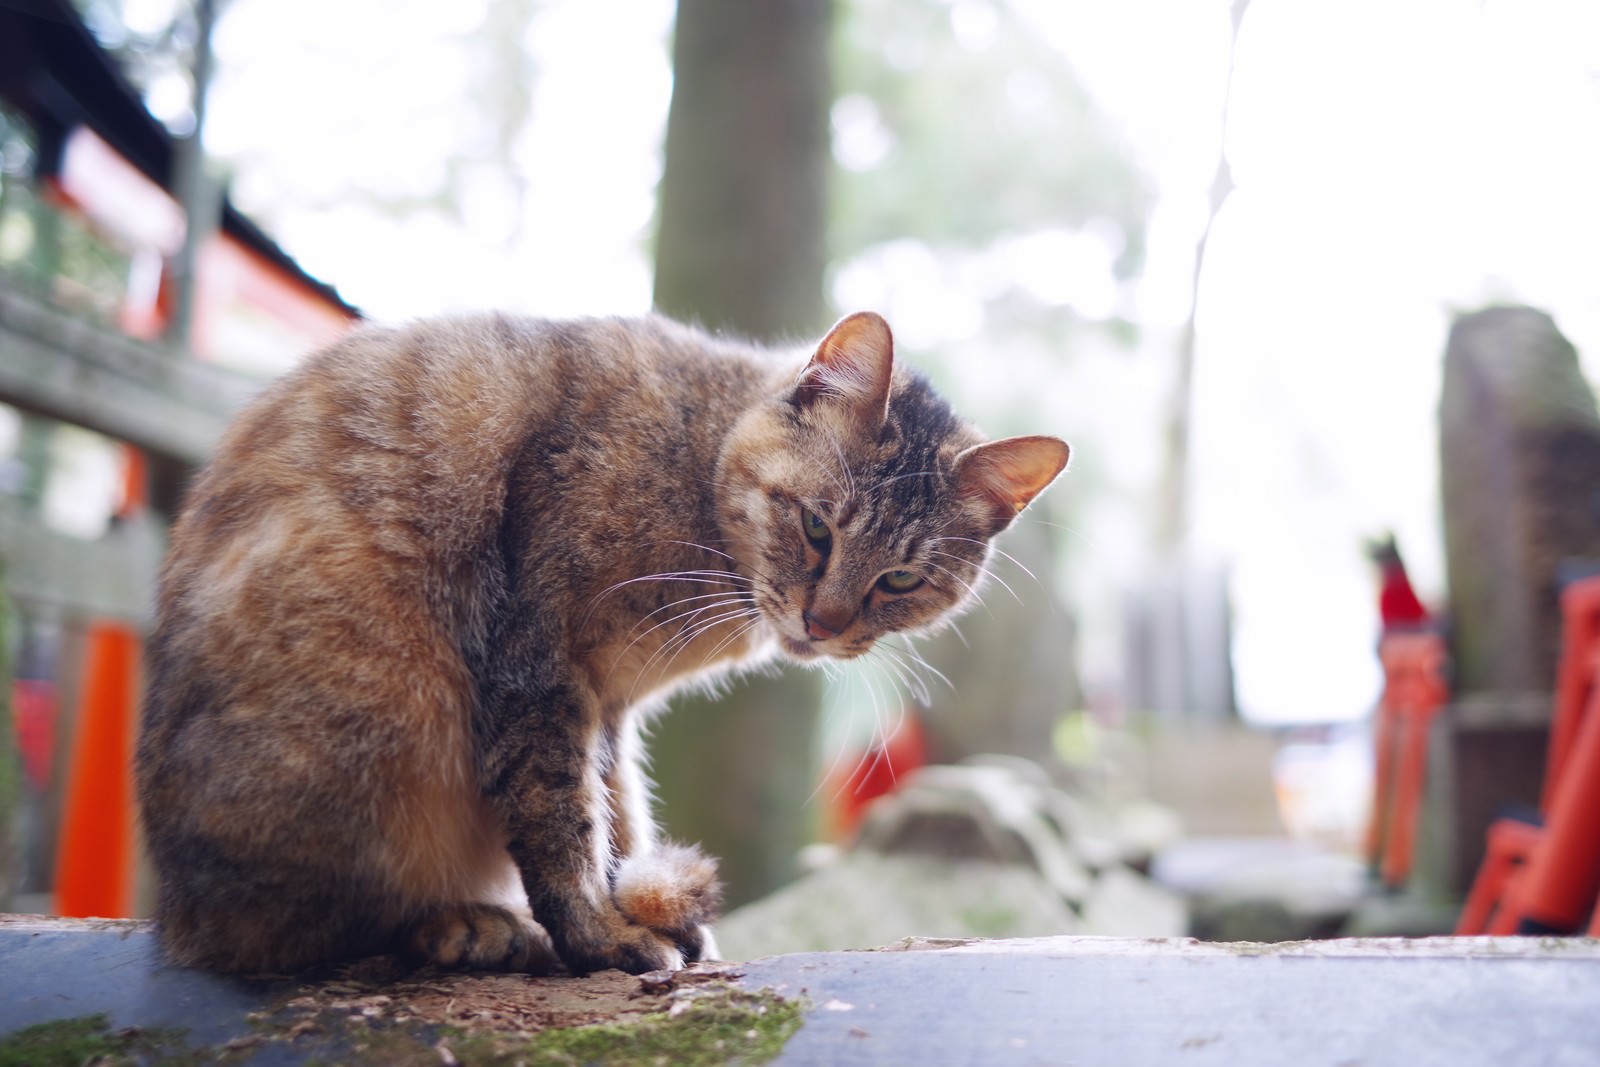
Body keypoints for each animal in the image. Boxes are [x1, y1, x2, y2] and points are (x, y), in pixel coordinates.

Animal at [134, 307, 1062, 979]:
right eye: (815, 527)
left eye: (901, 579)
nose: (824, 624)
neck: (696, 459)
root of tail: (176, 919)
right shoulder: (540, 665)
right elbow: (561, 820)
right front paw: (599, 935)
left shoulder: (607, 709)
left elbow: (618, 816)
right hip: (379, 712)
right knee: (302, 935)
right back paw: (477, 926)